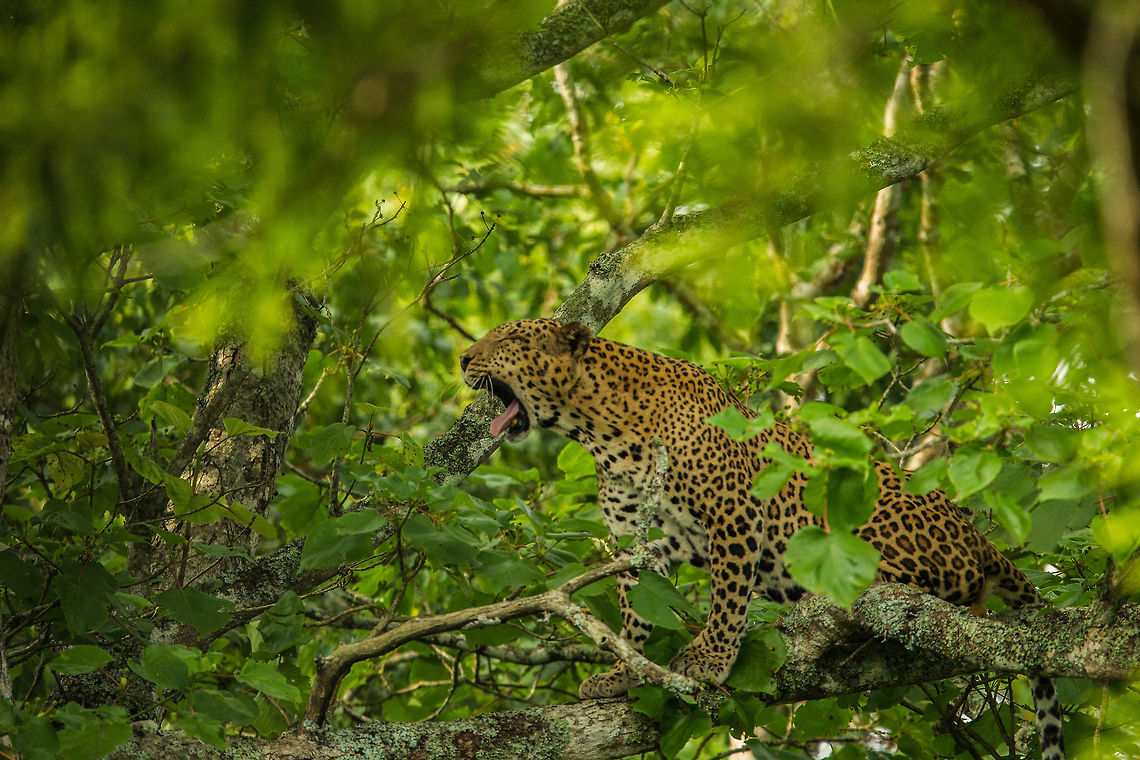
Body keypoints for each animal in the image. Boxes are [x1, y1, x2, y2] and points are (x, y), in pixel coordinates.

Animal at [460, 318, 1065, 760]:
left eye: (510, 339)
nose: (464, 358)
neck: (597, 428)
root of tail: (977, 535)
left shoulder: (734, 512)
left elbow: (727, 596)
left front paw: (710, 658)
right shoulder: (639, 540)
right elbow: (637, 611)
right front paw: (621, 672)